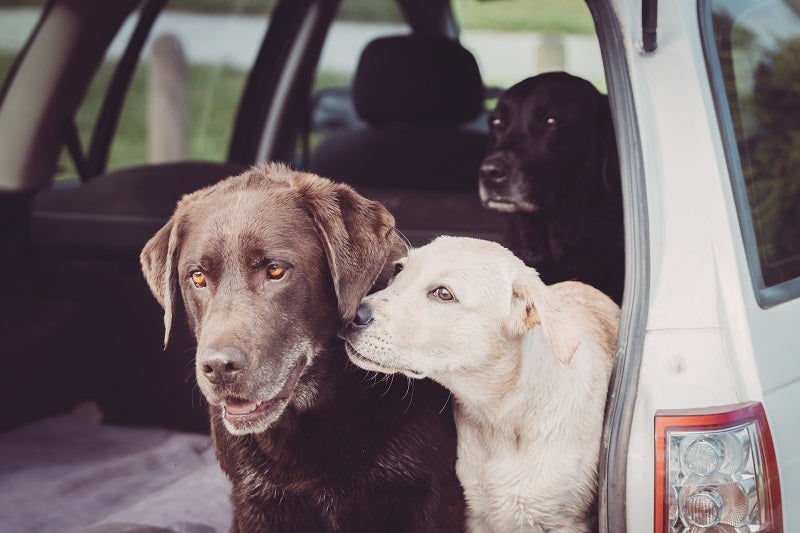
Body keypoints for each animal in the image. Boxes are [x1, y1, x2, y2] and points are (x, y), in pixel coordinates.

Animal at [342, 237, 620, 532]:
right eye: (398, 269)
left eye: (443, 294)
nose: (352, 316)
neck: (504, 418)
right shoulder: (477, 515)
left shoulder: (565, 521)